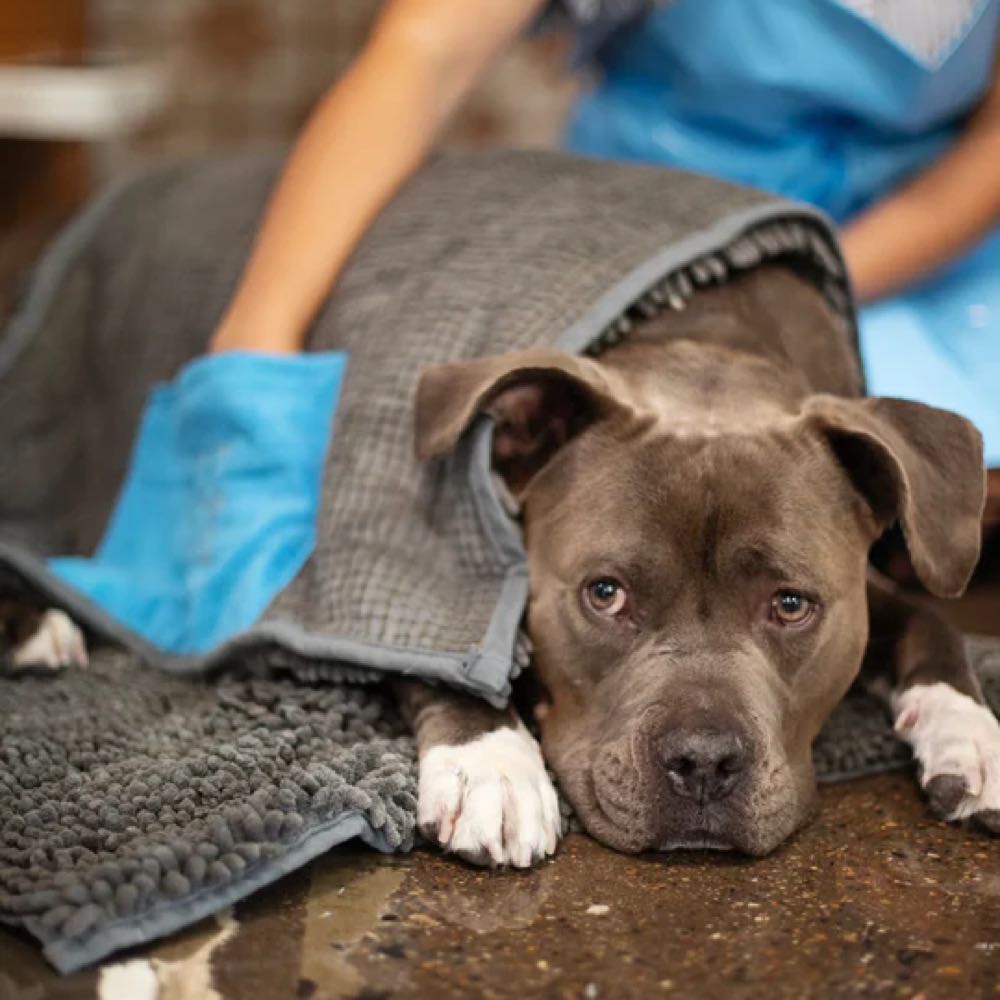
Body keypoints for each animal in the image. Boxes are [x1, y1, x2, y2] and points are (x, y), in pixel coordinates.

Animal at [3, 268, 996, 868]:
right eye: (605, 594)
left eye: (791, 605)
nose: (705, 763)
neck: (707, 347)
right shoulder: (403, 586)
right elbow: (450, 662)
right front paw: (495, 770)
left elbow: (930, 615)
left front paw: (969, 737)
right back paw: (37, 627)